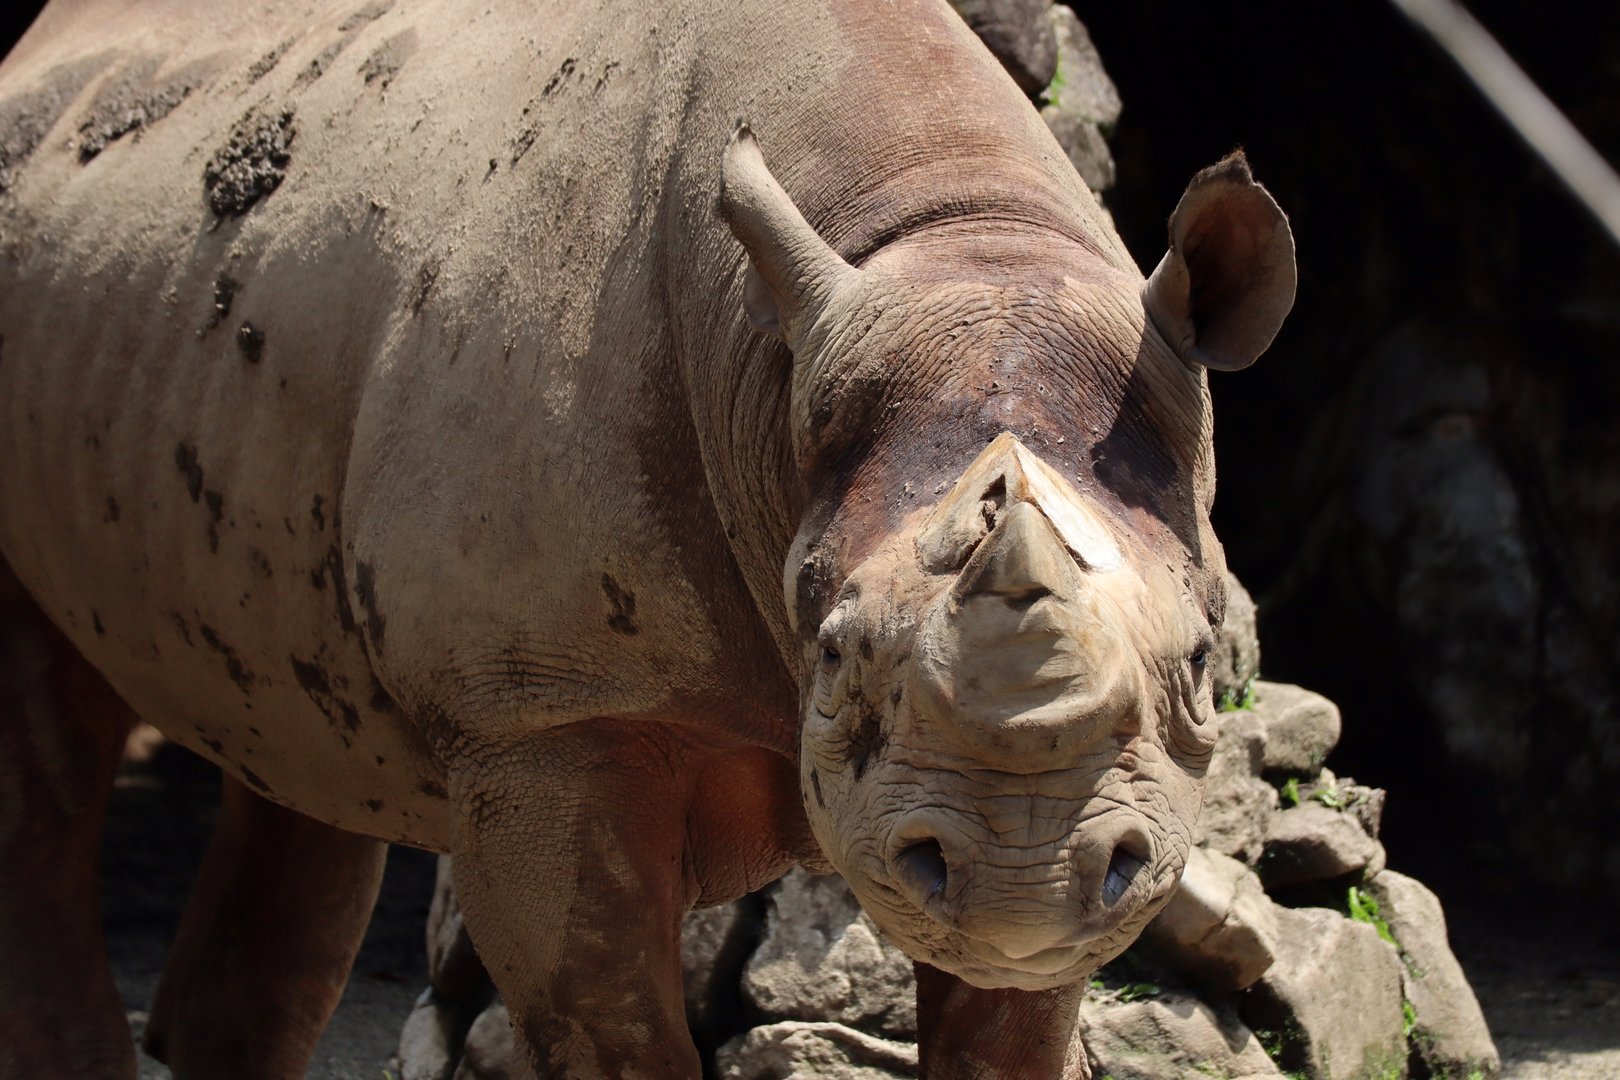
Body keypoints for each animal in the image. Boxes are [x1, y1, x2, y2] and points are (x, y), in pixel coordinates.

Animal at [0, 0, 1294, 1076]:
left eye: (1202, 660)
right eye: (832, 650)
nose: (1022, 874)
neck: (953, 238)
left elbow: (1008, 1033)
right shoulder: (542, 715)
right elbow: (611, 1026)